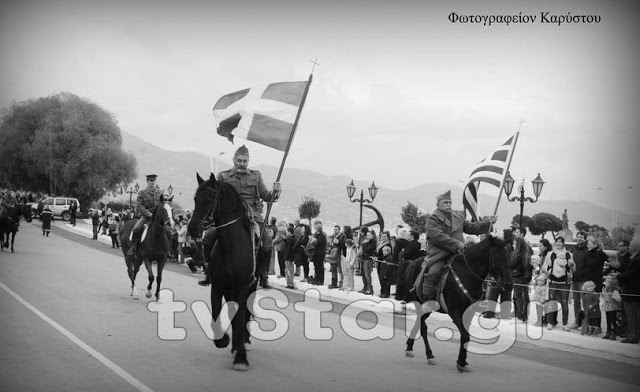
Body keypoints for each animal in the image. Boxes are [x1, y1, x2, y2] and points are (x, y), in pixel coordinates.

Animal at [186, 173, 256, 372]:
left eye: (209, 200)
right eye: (196, 199)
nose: (193, 228)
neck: (231, 246)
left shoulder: (242, 287)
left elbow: (240, 318)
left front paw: (241, 358)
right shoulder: (218, 286)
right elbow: (216, 317)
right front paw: (223, 340)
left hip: (252, 287)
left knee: (244, 314)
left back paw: (243, 343)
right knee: (233, 313)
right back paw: (234, 345)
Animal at [400, 236, 510, 374]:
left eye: (508, 257)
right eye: (497, 258)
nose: (508, 284)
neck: (467, 274)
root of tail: (411, 263)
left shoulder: (469, 312)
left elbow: (466, 336)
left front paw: (464, 361)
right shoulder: (455, 312)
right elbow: (465, 335)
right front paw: (460, 362)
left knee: (419, 323)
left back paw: (409, 347)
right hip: (419, 303)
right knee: (423, 328)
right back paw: (429, 355)